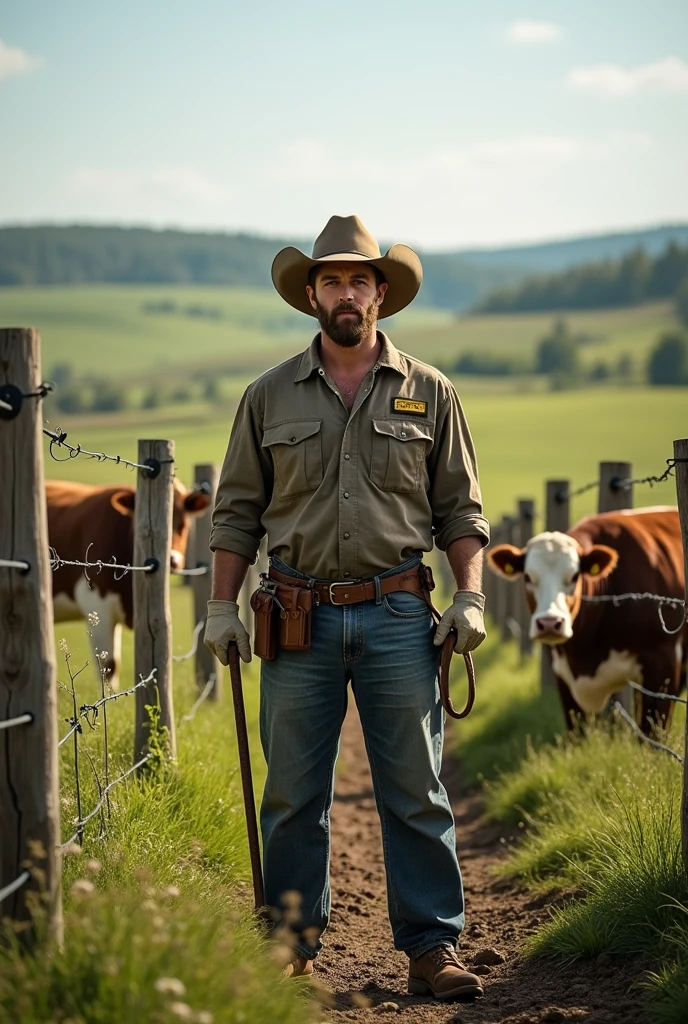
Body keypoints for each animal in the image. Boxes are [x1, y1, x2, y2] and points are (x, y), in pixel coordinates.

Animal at [487, 505, 683, 733]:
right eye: (527, 577)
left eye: (574, 576)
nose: (549, 623)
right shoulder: (564, 678)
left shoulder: (663, 665)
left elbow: (653, 733)